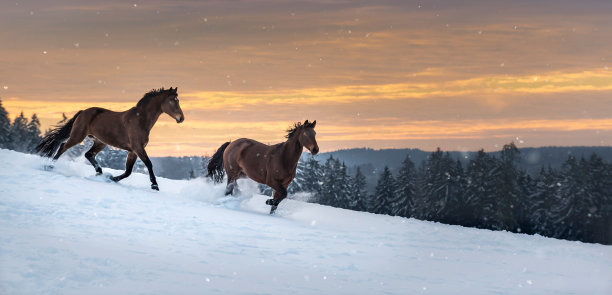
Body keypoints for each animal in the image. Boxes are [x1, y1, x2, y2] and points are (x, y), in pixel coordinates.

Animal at [35, 86, 183, 191]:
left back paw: (100, 172)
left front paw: (111, 178)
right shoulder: (138, 148)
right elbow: (148, 164)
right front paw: (155, 186)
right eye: (172, 100)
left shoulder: (133, 151)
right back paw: (50, 166)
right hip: (78, 136)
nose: (181, 118)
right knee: (63, 147)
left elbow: (128, 171)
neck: (141, 120)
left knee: (88, 154)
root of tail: (83, 112)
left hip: (101, 142)